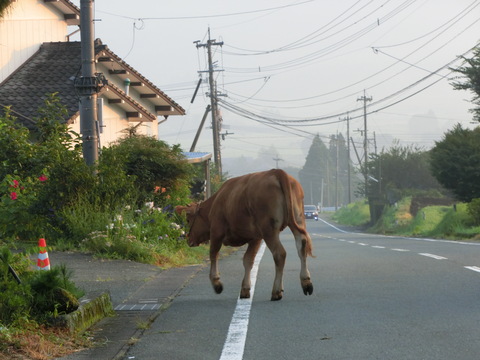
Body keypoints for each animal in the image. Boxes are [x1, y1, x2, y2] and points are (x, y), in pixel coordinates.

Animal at [176, 169, 316, 300]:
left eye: (188, 220)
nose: (188, 239)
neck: (216, 202)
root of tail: (276, 172)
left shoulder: (216, 232)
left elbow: (213, 255)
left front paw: (217, 283)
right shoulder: (256, 237)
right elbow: (248, 260)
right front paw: (245, 288)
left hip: (269, 230)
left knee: (279, 253)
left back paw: (276, 291)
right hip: (297, 220)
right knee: (301, 245)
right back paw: (306, 283)